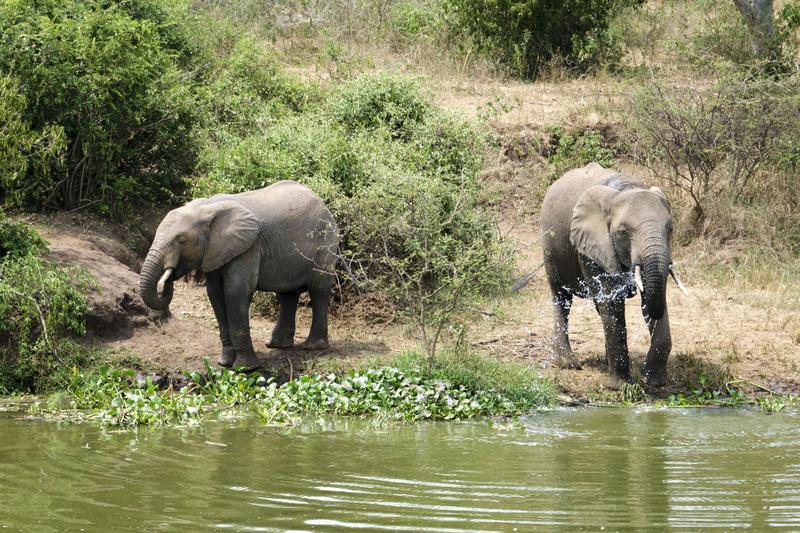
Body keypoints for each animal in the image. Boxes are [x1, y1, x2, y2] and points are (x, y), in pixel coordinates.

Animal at [139, 181, 340, 368]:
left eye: (181, 240)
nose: (169, 273)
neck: (205, 208)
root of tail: (321, 201)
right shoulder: (216, 250)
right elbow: (215, 295)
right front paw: (225, 363)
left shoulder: (247, 248)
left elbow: (236, 292)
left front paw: (246, 368)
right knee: (287, 294)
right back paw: (277, 345)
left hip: (325, 242)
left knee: (318, 289)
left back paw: (312, 346)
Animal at [544, 162, 688, 386]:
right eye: (623, 232)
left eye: (670, 230)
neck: (626, 188)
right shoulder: (590, 245)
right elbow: (611, 304)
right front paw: (619, 386)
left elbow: (650, 296)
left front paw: (654, 381)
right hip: (550, 246)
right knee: (561, 297)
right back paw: (567, 363)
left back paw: (605, 361)